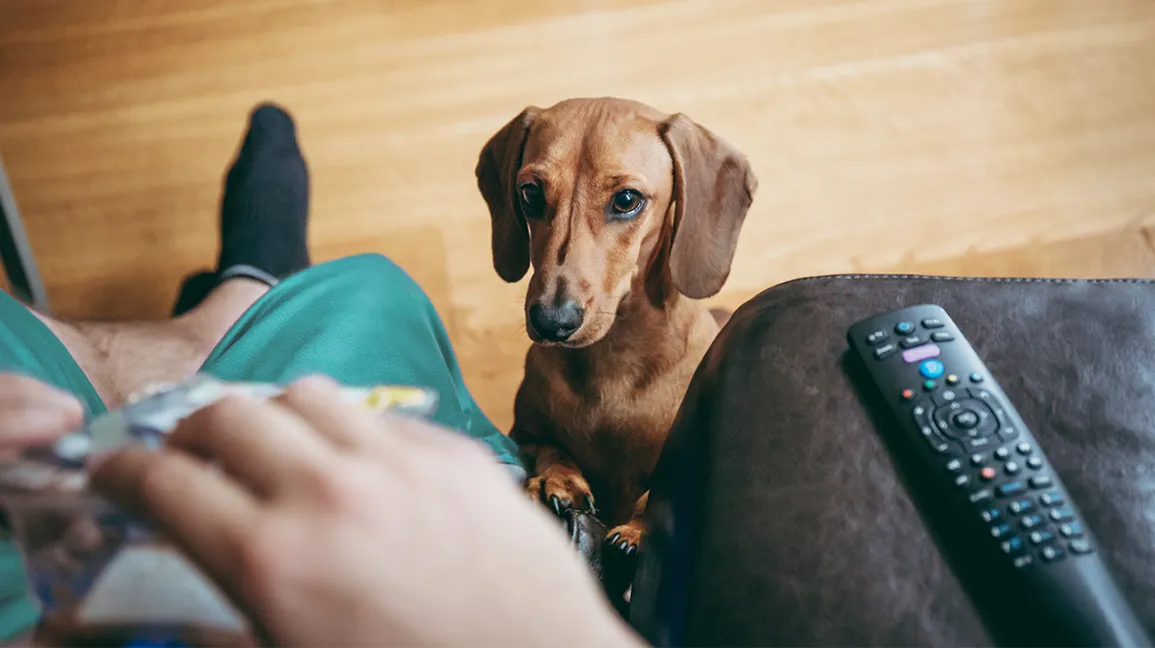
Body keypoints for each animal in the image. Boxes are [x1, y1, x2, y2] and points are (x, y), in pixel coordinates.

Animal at [475, 97, 757, 560]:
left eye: (626, 200)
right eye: (530, 192)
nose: (552, 322)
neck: (612, 359)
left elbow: (656, 492)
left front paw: (639, 530)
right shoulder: (523, 433)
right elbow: (548, 448)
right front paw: (556, 481)